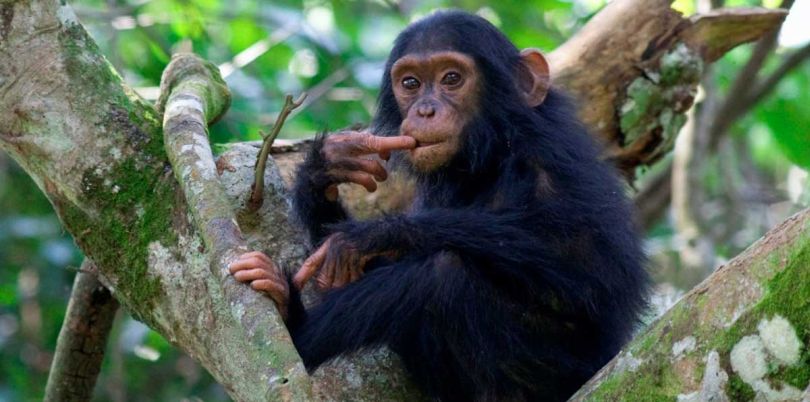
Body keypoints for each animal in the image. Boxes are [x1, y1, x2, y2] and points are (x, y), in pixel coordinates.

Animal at [227, 10, 644, 402]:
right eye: (411, 83)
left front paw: (372, 235)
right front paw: (328, 166)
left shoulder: (551, 160)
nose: (425, 110)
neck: (491, 154)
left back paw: (292, 319)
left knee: (440, 276)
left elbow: (588, 272)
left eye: (452, 78)